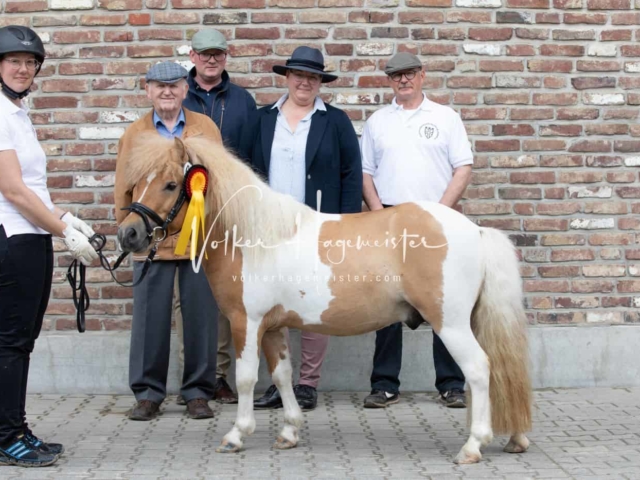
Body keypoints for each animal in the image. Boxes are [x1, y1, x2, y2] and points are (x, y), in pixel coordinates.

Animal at [117, 134, 532, 462]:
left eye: (171, 184)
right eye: (138, 183)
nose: (128, 234)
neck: (253, 237)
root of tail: (476, 232)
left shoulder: (246, 322)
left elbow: (247, 378)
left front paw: (236, 435)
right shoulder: (273, 327)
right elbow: (282, 375)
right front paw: (289, 432)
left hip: (451, 323)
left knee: (478, 369)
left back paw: (473, 446)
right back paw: (514, 439)